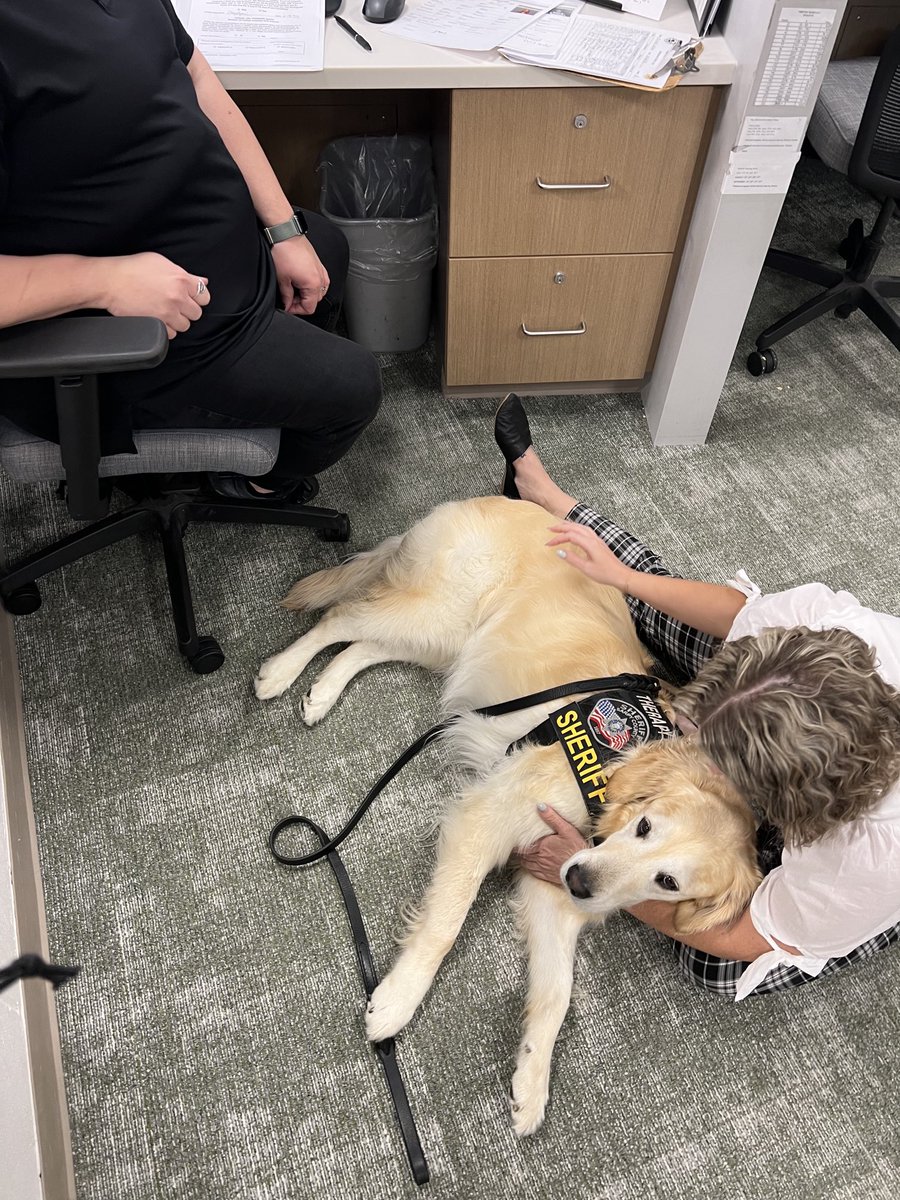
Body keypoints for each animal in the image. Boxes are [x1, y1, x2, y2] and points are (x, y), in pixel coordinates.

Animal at [254, 496, 763, 1132]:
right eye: (645, 827)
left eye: (668, 881)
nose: (582, 881)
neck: (606, 781)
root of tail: (498, 500)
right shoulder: (489, 817)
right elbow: (445, 924)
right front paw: (397, 1001)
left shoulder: (551, 881)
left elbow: (557, 993)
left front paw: (532, 1077)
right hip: (438, 614)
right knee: (341, 619)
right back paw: (280, 672)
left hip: (450, 642)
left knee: (364, 645)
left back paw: (322, 692)